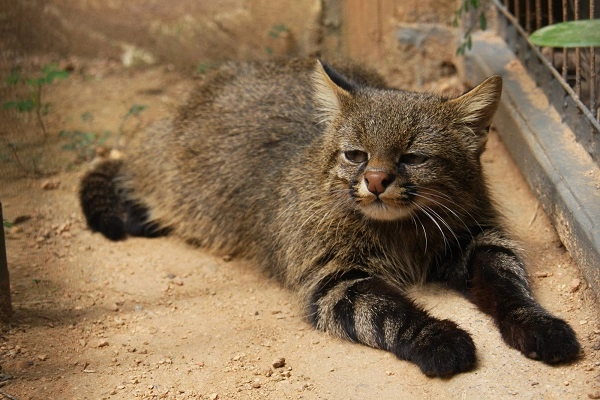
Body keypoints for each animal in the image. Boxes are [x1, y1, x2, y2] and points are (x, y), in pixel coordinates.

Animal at [77, 57, 580, 376]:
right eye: (356, 155)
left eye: (413, 157)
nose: (375, 181)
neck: (402, 234)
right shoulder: (333, 279)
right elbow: (391, 312)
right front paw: (438, 339)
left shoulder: (480, 241)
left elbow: (510, 288)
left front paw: (539, 326)